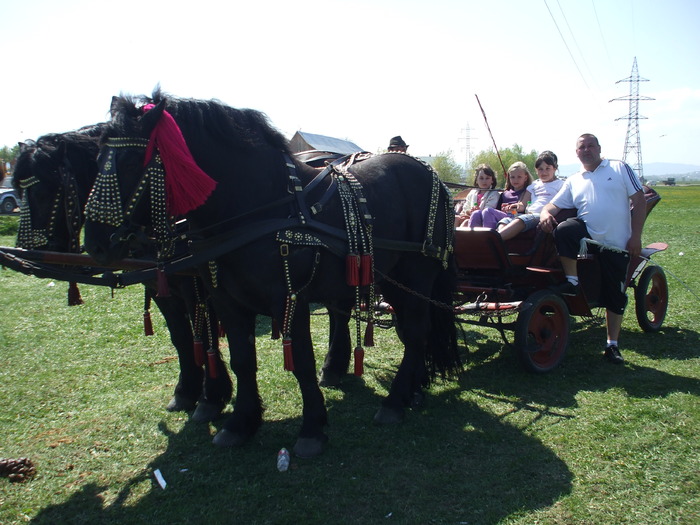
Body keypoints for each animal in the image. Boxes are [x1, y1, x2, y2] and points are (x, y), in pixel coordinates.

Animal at [13, 127, 232, 422]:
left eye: (42, 193)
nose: (30, 250)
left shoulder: (196, 291)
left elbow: (205, 338)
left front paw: (212, 397)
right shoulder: (160, 289)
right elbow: (181, 337)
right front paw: (186, 391)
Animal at [83, 91, 464, 458]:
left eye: (131, 161)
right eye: (96, 160)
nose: (96, 245)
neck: (261, 207)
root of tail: (432, 177)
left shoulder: (290, 299)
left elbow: (303, 363)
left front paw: (311, 429)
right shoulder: (226, 301)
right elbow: (242, 359)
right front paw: (240, 423)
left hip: (416, 276)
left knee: (415, 332)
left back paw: (395, 401)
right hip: (390, 278)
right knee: (412, 332)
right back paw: (412, 390)